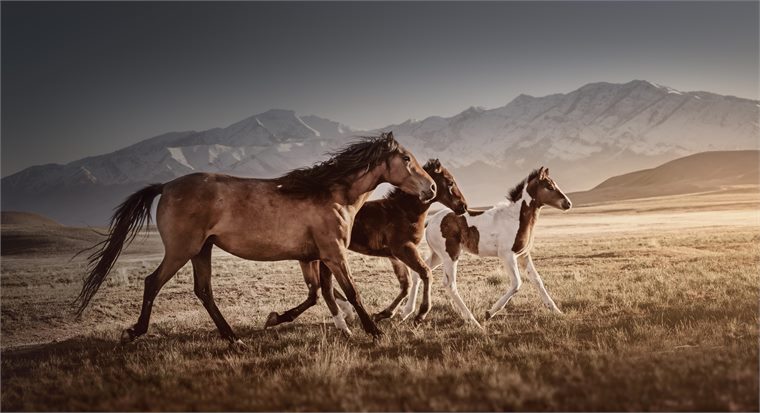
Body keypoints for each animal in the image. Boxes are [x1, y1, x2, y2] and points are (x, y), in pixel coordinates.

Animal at [73, 132, 436, 347]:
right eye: (406, 159)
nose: (430, 188)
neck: (332, 195)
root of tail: (166, 186)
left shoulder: (312, 256)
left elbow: (318, 294)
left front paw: (277, 318)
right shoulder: (334, 254)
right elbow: (351, 293)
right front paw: (375, 331)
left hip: (202, 250)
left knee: (203, 291)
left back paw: (233, 339)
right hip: (182, 249)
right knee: (153, 282)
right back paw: (135, 332)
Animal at [263, 159, 469, 334]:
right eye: (450, 182)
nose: (464, 206)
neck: (402, 212)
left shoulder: (394, 255)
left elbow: (406, 284)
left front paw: (383, 314)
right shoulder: (403, 249)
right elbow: (425, 273)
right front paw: (420, 315)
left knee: (322, 287)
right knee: (322, 287)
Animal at [404, 166, 571, 328]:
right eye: (549, 186)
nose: (568, 203)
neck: (515, 218)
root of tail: (431, 220)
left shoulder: (523, 255)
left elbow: (537, 280)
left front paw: (556, 311)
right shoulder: (507, 255)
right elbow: (516, 283)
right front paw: (489, 312)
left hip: (438, 255)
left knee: (419, 272)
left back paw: (406, 312)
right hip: (450, 254)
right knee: (449, 284)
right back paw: (472, 320)